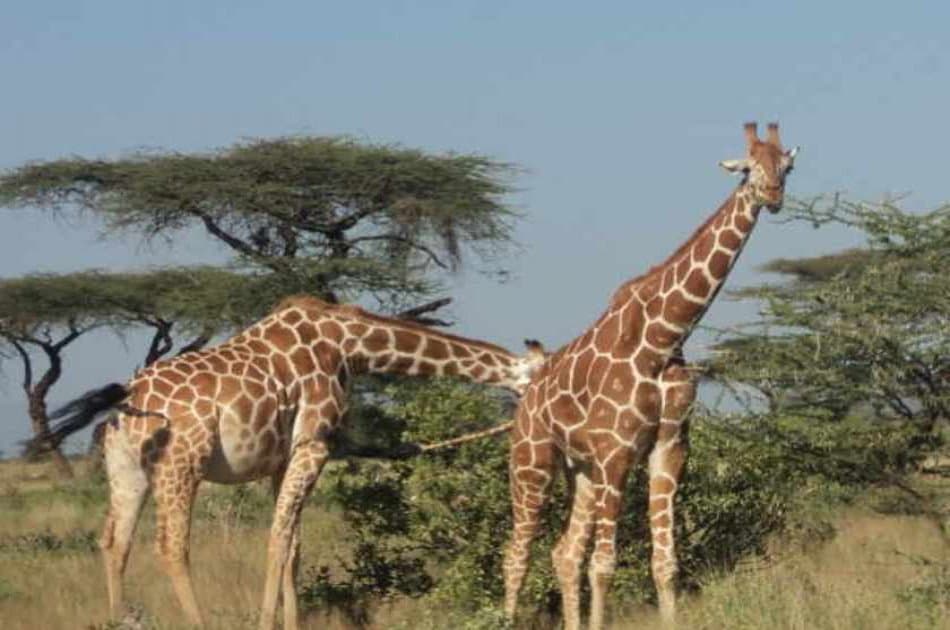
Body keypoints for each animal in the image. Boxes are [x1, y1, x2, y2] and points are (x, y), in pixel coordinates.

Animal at [34, 295, 546, 630]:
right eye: (536, 379)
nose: (536, 415)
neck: (353, 345)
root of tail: (130, 397)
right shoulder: (314, 443)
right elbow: (279, 539)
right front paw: (267, 622)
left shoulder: (281, 458)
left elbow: (295, 545)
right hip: (183, 461)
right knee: (170, 544)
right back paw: (197, 622)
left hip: (126, 468)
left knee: (113, 541)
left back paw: (118, 619)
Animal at [502, 123, 798, 629]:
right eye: (749, 167)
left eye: (786, 166)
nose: (774, 196)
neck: (662, 338)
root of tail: (529, 392)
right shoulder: (616, 453)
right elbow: (604, 565)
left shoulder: (668, 449)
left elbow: (664, 563)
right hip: (533, 461)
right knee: (516, 555)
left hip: (581, 470)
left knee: (563, 554)